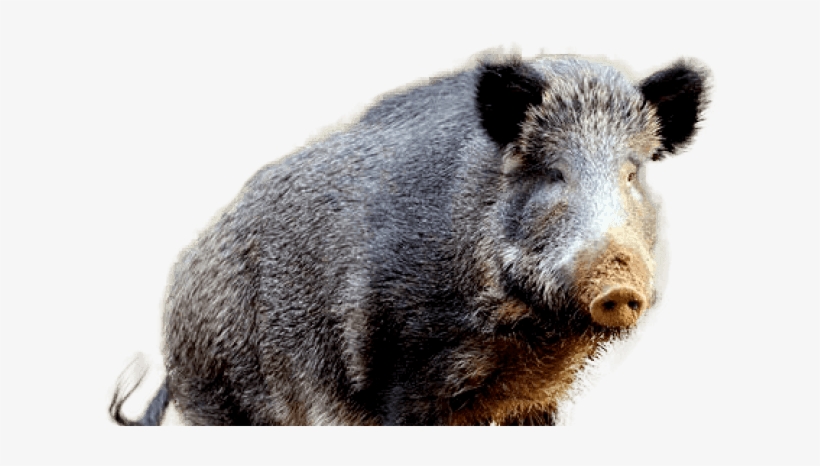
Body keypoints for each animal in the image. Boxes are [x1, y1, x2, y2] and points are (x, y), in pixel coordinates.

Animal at [110, 53, 707, 426]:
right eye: (553, 172)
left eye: (631, 173)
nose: (619, 285)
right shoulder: (401, 376)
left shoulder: (535, 403)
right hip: (220, 398)